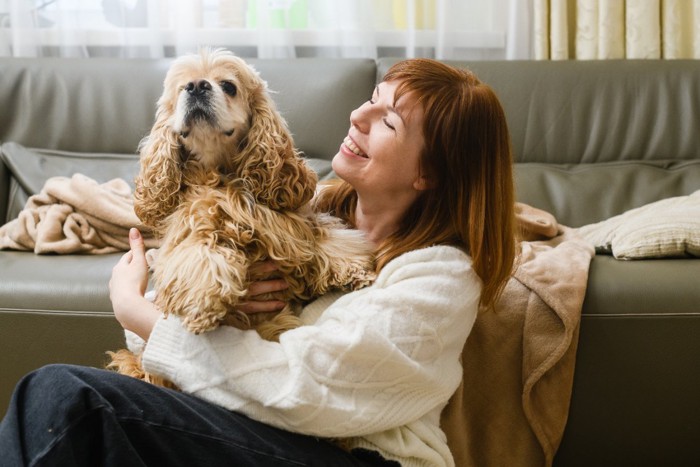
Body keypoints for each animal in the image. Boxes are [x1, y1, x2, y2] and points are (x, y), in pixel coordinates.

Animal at [106, 49, 374, 390]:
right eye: (181, 88)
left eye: (229, 86)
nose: (196, 86)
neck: (221, 175)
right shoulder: (189, 233)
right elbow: (200, 255)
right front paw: (202, 303)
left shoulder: (291, 225)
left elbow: (323, 236)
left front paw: (352, 269)